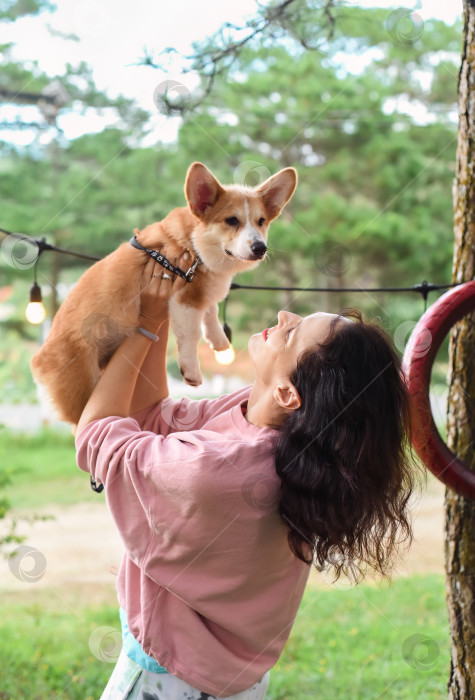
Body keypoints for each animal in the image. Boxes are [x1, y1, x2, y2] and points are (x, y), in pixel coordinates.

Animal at [30, 161, 298, 424]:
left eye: (261, 221)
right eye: (232, 220)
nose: (260, 248)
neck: (193, 243)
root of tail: (38, 358)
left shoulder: (201, 291)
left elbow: (211, 311)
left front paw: (219, 340)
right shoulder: (186, 301)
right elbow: (191, 336)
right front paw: (192, 371)